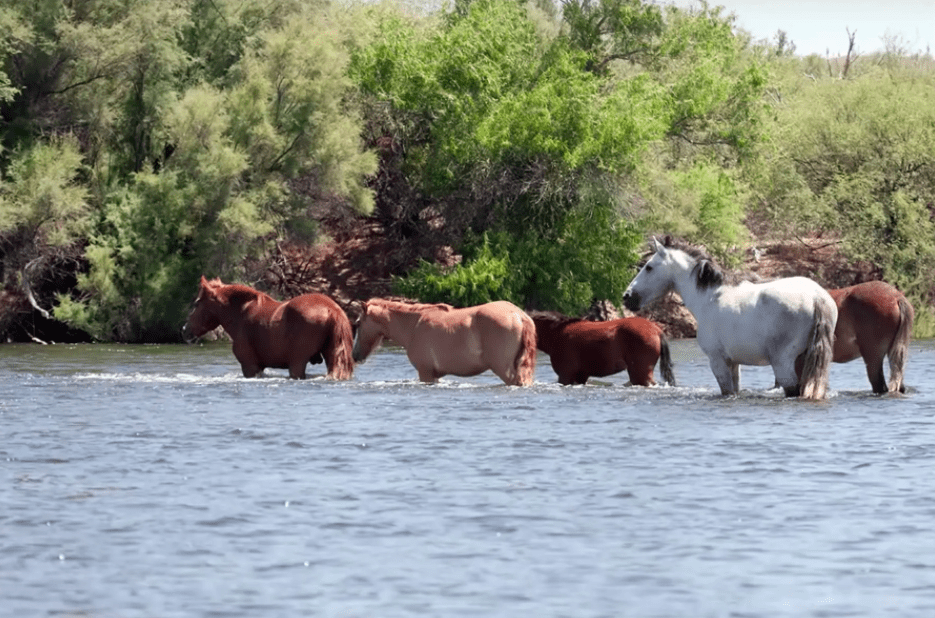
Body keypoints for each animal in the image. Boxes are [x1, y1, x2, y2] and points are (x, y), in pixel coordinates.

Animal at [184, 276, 354, 380]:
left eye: (197, 303)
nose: (185, 329)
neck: (241, 313)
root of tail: (332, 308)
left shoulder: (250, 366)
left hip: (297, 363)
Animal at [352, 298, 540, 384]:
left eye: (358, 323)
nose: (355, 355)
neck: (413, 325)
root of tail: (520, 315)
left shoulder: (425, 373)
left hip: (503, 369)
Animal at [624, 236, 836, 400]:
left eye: (649, 267)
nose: (627, 297)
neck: (709, 297)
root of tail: (816, 297)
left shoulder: (718, 361)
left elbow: (727, 391)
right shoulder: (734, 363)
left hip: (782, 363)